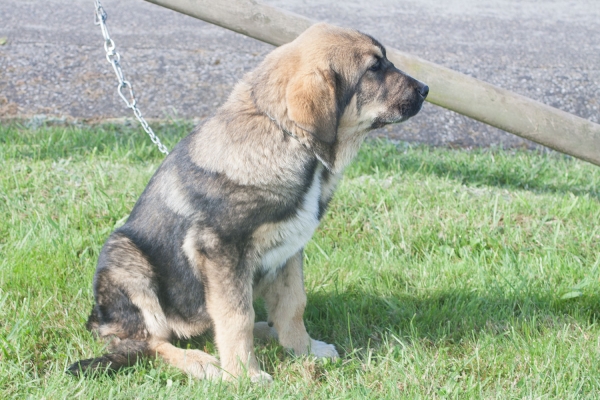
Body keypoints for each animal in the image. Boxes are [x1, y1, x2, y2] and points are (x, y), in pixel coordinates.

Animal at [68, 21, 428, 382]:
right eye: (374, 69)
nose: (426, 89)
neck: (286, 136)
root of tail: (99, 319)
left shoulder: (289, 248)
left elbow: (292, 304)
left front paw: (303, 349)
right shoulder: (222, 251)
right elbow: (236, 316)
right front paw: (245, 376)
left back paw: (266, 331)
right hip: (126, 261)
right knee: (150, 343)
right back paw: (201, 361)